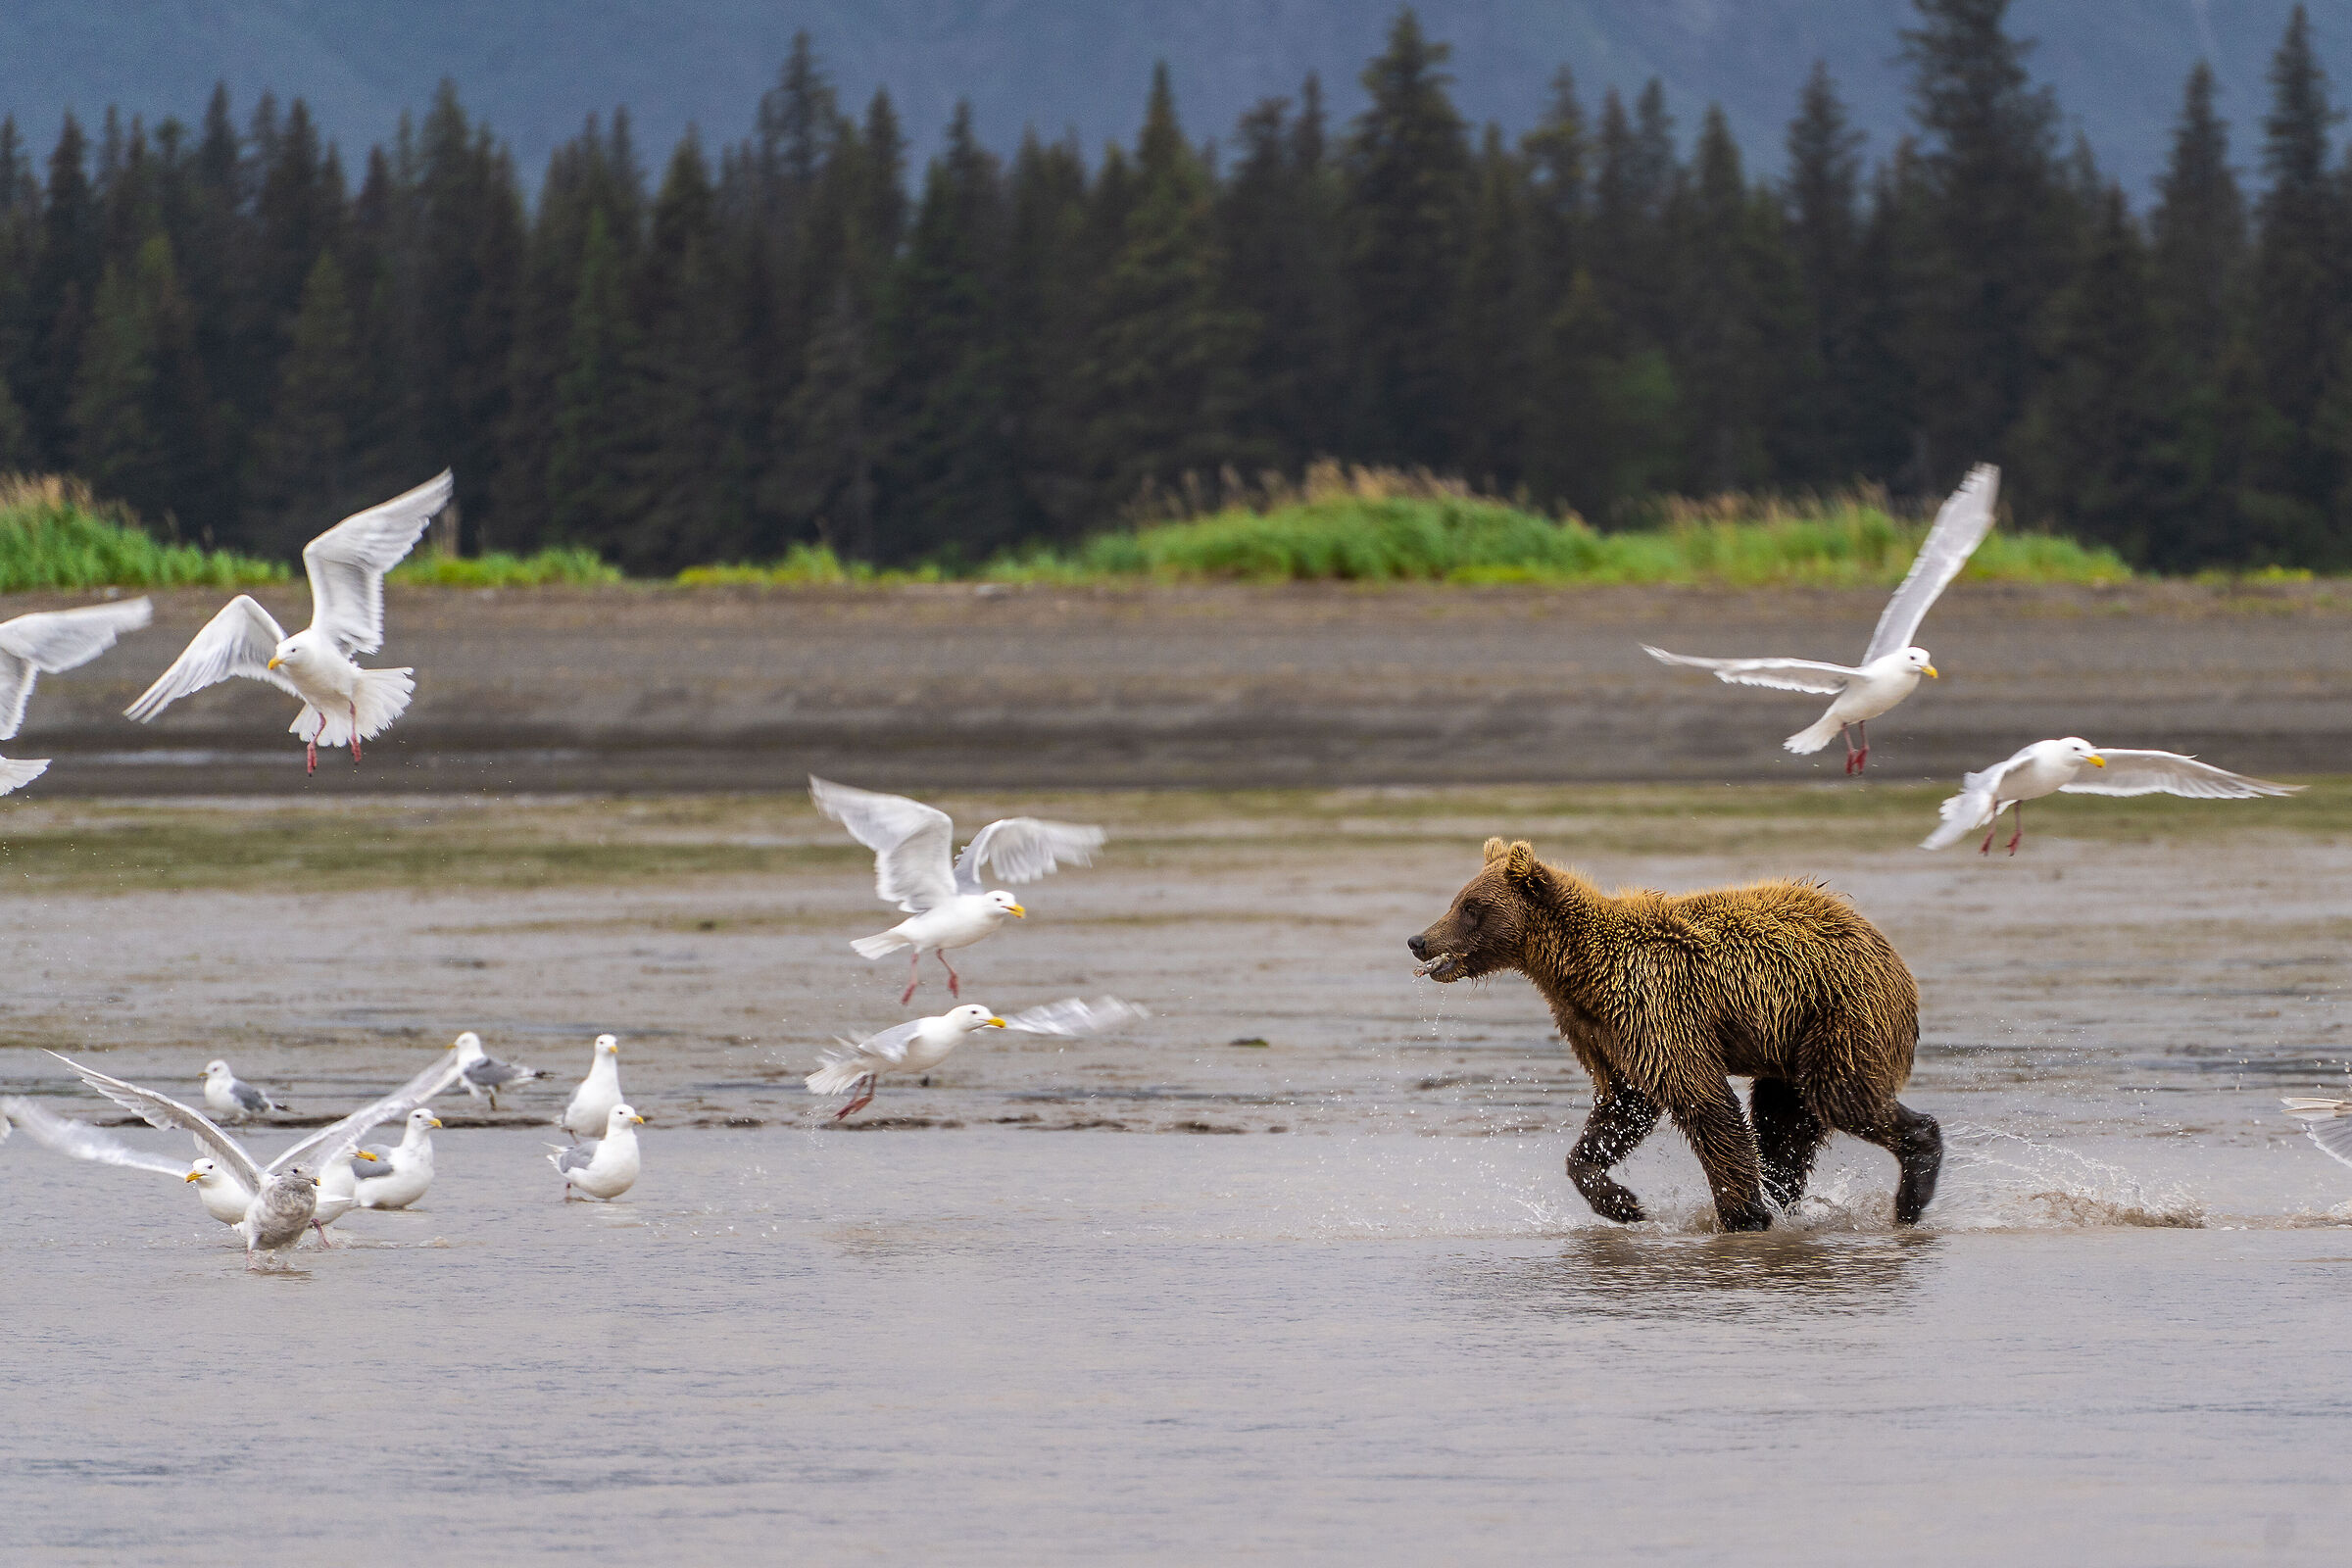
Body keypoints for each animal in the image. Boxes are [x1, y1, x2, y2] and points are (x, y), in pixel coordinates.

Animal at [1406, 838, 1940, 1231]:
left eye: (1470, 906)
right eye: (1458, 900)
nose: (1419, 940)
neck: (1576, 973)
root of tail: (1884, 947)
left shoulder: (1655, 1004)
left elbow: (1704, 1102)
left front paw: (1743, 1216)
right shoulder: (1602, 1031)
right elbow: (1622, 1107)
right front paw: (1623, 1203)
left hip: (1839, 1012)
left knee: (1841, 1097)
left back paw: (1912, 1189)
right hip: (1789, 1040)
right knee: (1782, 1126)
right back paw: (1791, 1200)